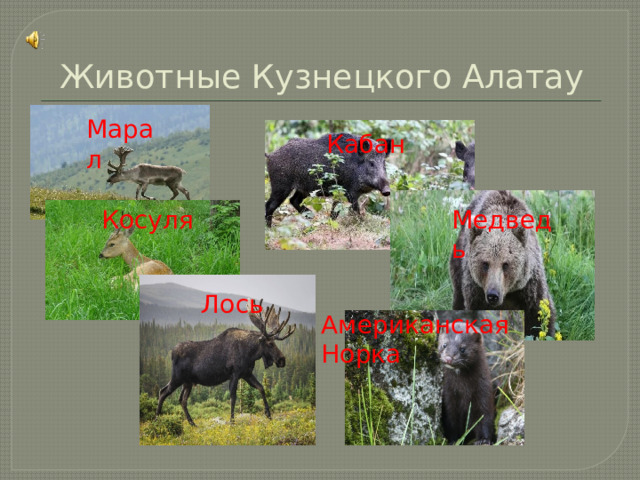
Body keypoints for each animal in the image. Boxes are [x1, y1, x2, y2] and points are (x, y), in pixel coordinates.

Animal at [449, 190, 556, 337]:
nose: (493, 295)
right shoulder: (476, 290)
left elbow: (538, 318)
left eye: (506, 264)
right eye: (485, 263)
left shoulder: (529, 287)